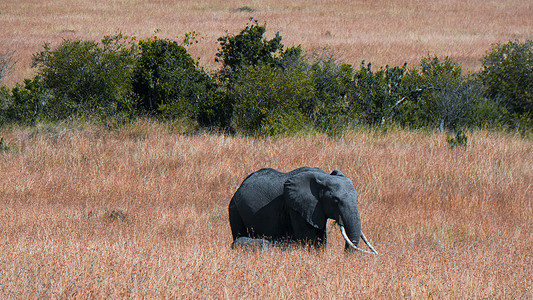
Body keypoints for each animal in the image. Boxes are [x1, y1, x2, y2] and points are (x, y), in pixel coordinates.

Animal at [229, 166, 378, 253]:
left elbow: (321, 237)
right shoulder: (295, 207)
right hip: (234, 209)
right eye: (335, 200)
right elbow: (308, 238)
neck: (324, 177)